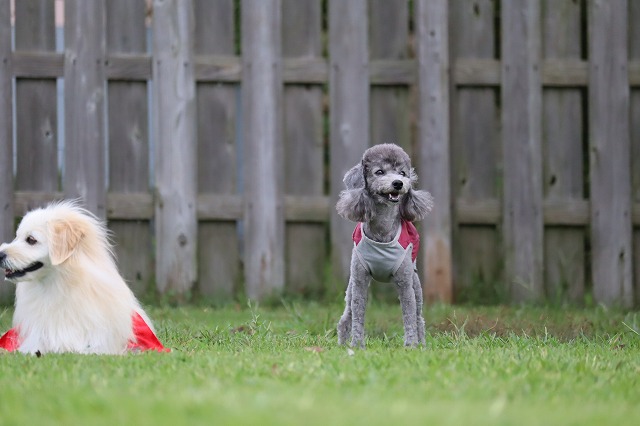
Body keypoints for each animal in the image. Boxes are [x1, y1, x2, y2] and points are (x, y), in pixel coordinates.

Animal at [336, 144, 433, 348]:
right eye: (379, 172)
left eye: (402, 173)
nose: (398, 183)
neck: (382, 230)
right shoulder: (359, 280)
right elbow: (358, 315)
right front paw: (357, 346)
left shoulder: (405, 282)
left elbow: (409, 316)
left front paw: (411, 346)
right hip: (350, 287)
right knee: (346, 316)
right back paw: (341, 344)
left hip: (416, 283)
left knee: (418, 317)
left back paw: (422, 344)